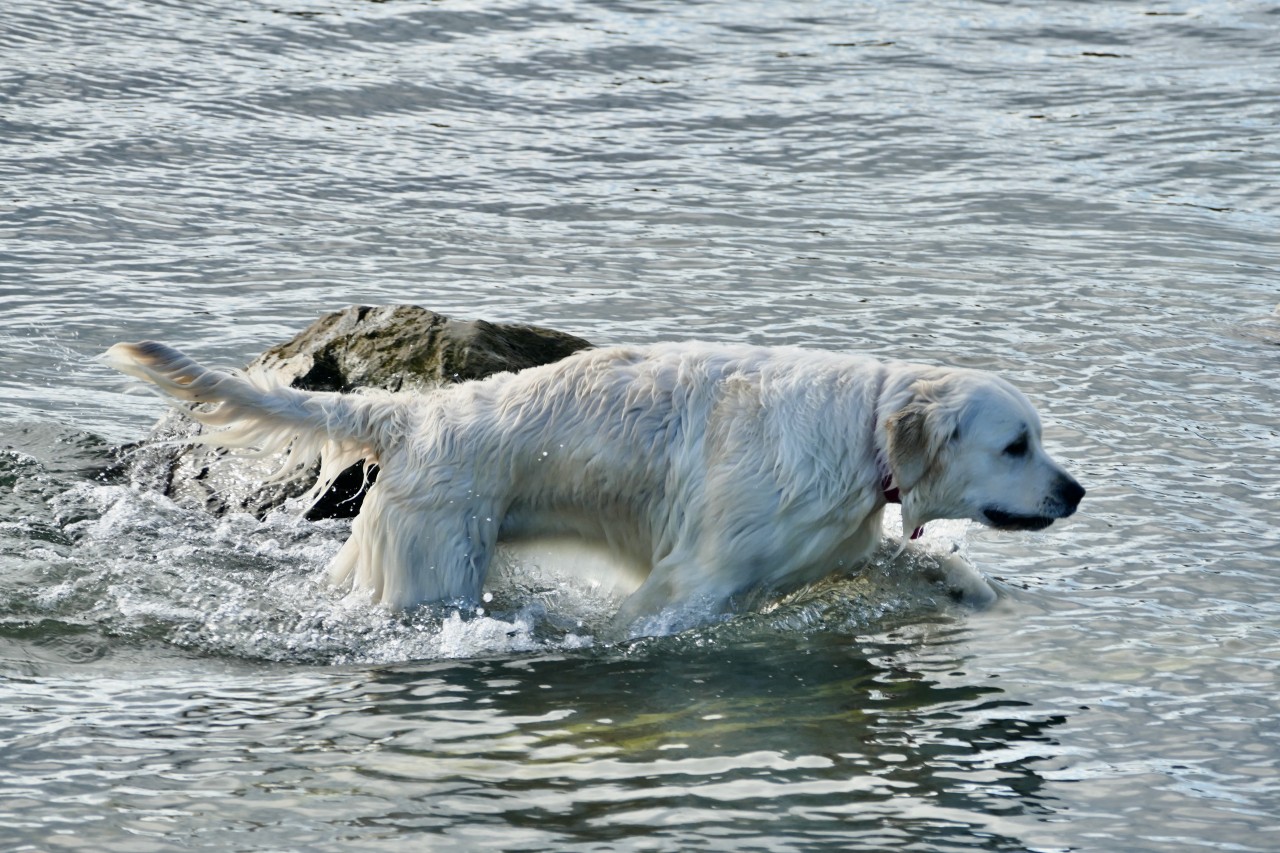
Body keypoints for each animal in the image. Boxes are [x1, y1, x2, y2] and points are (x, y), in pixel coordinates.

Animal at [104, 338, 1085, 625]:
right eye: (1016, 445)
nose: (1075, 491)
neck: (862, 433)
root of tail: (411, 414)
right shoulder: (691, 581)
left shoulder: (836, 546)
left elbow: (926, 560)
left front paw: (968, 583)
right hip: (432, 567)